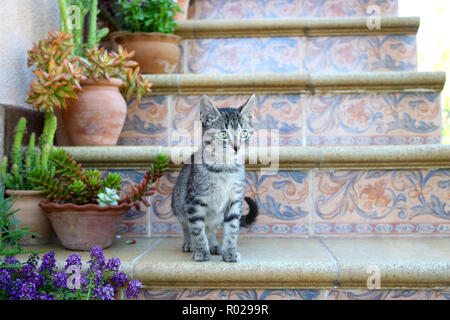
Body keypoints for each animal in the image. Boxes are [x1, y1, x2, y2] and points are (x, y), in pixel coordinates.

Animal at [171, 94, 258, 262]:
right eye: (223, 134)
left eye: (244, 133)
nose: (237, 147)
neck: (225, 169)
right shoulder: (194, 200)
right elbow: (197, 229)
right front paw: (200, 250)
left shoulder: (234, 200)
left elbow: (232, 229)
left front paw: (229, 251)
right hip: (179, 203)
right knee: (187, 226)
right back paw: (190, 243)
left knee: (210, 229)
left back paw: (215, 245)